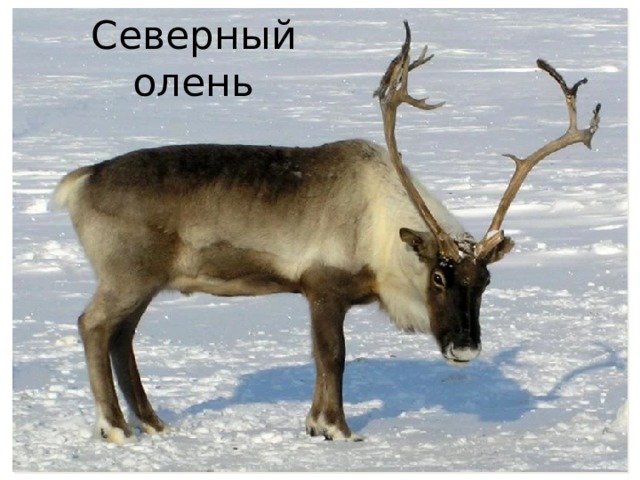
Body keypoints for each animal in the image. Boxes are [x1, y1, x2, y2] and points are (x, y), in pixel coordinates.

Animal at [54, 22, 601, 443]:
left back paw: (152, 422)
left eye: (484, 281)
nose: (464, 348)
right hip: (126, 275)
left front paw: (317, 424)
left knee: (122, 336)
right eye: (438, 276)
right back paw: (115, 427)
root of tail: (81, 180)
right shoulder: (322, 287)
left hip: (145, 282)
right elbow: (331, 357)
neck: (382, 236)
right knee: (93, 324)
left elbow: (325, 360)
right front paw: (336, 427)